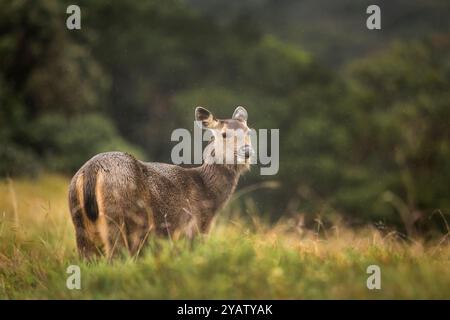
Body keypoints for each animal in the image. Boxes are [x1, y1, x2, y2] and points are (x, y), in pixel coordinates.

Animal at [69, 106, 255, 258]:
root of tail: (92, 170)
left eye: (248, 132)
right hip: (118, 218)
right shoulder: (192, 230)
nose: (247, 151)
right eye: (224, 134)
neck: (207, 193)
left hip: (80, 223)